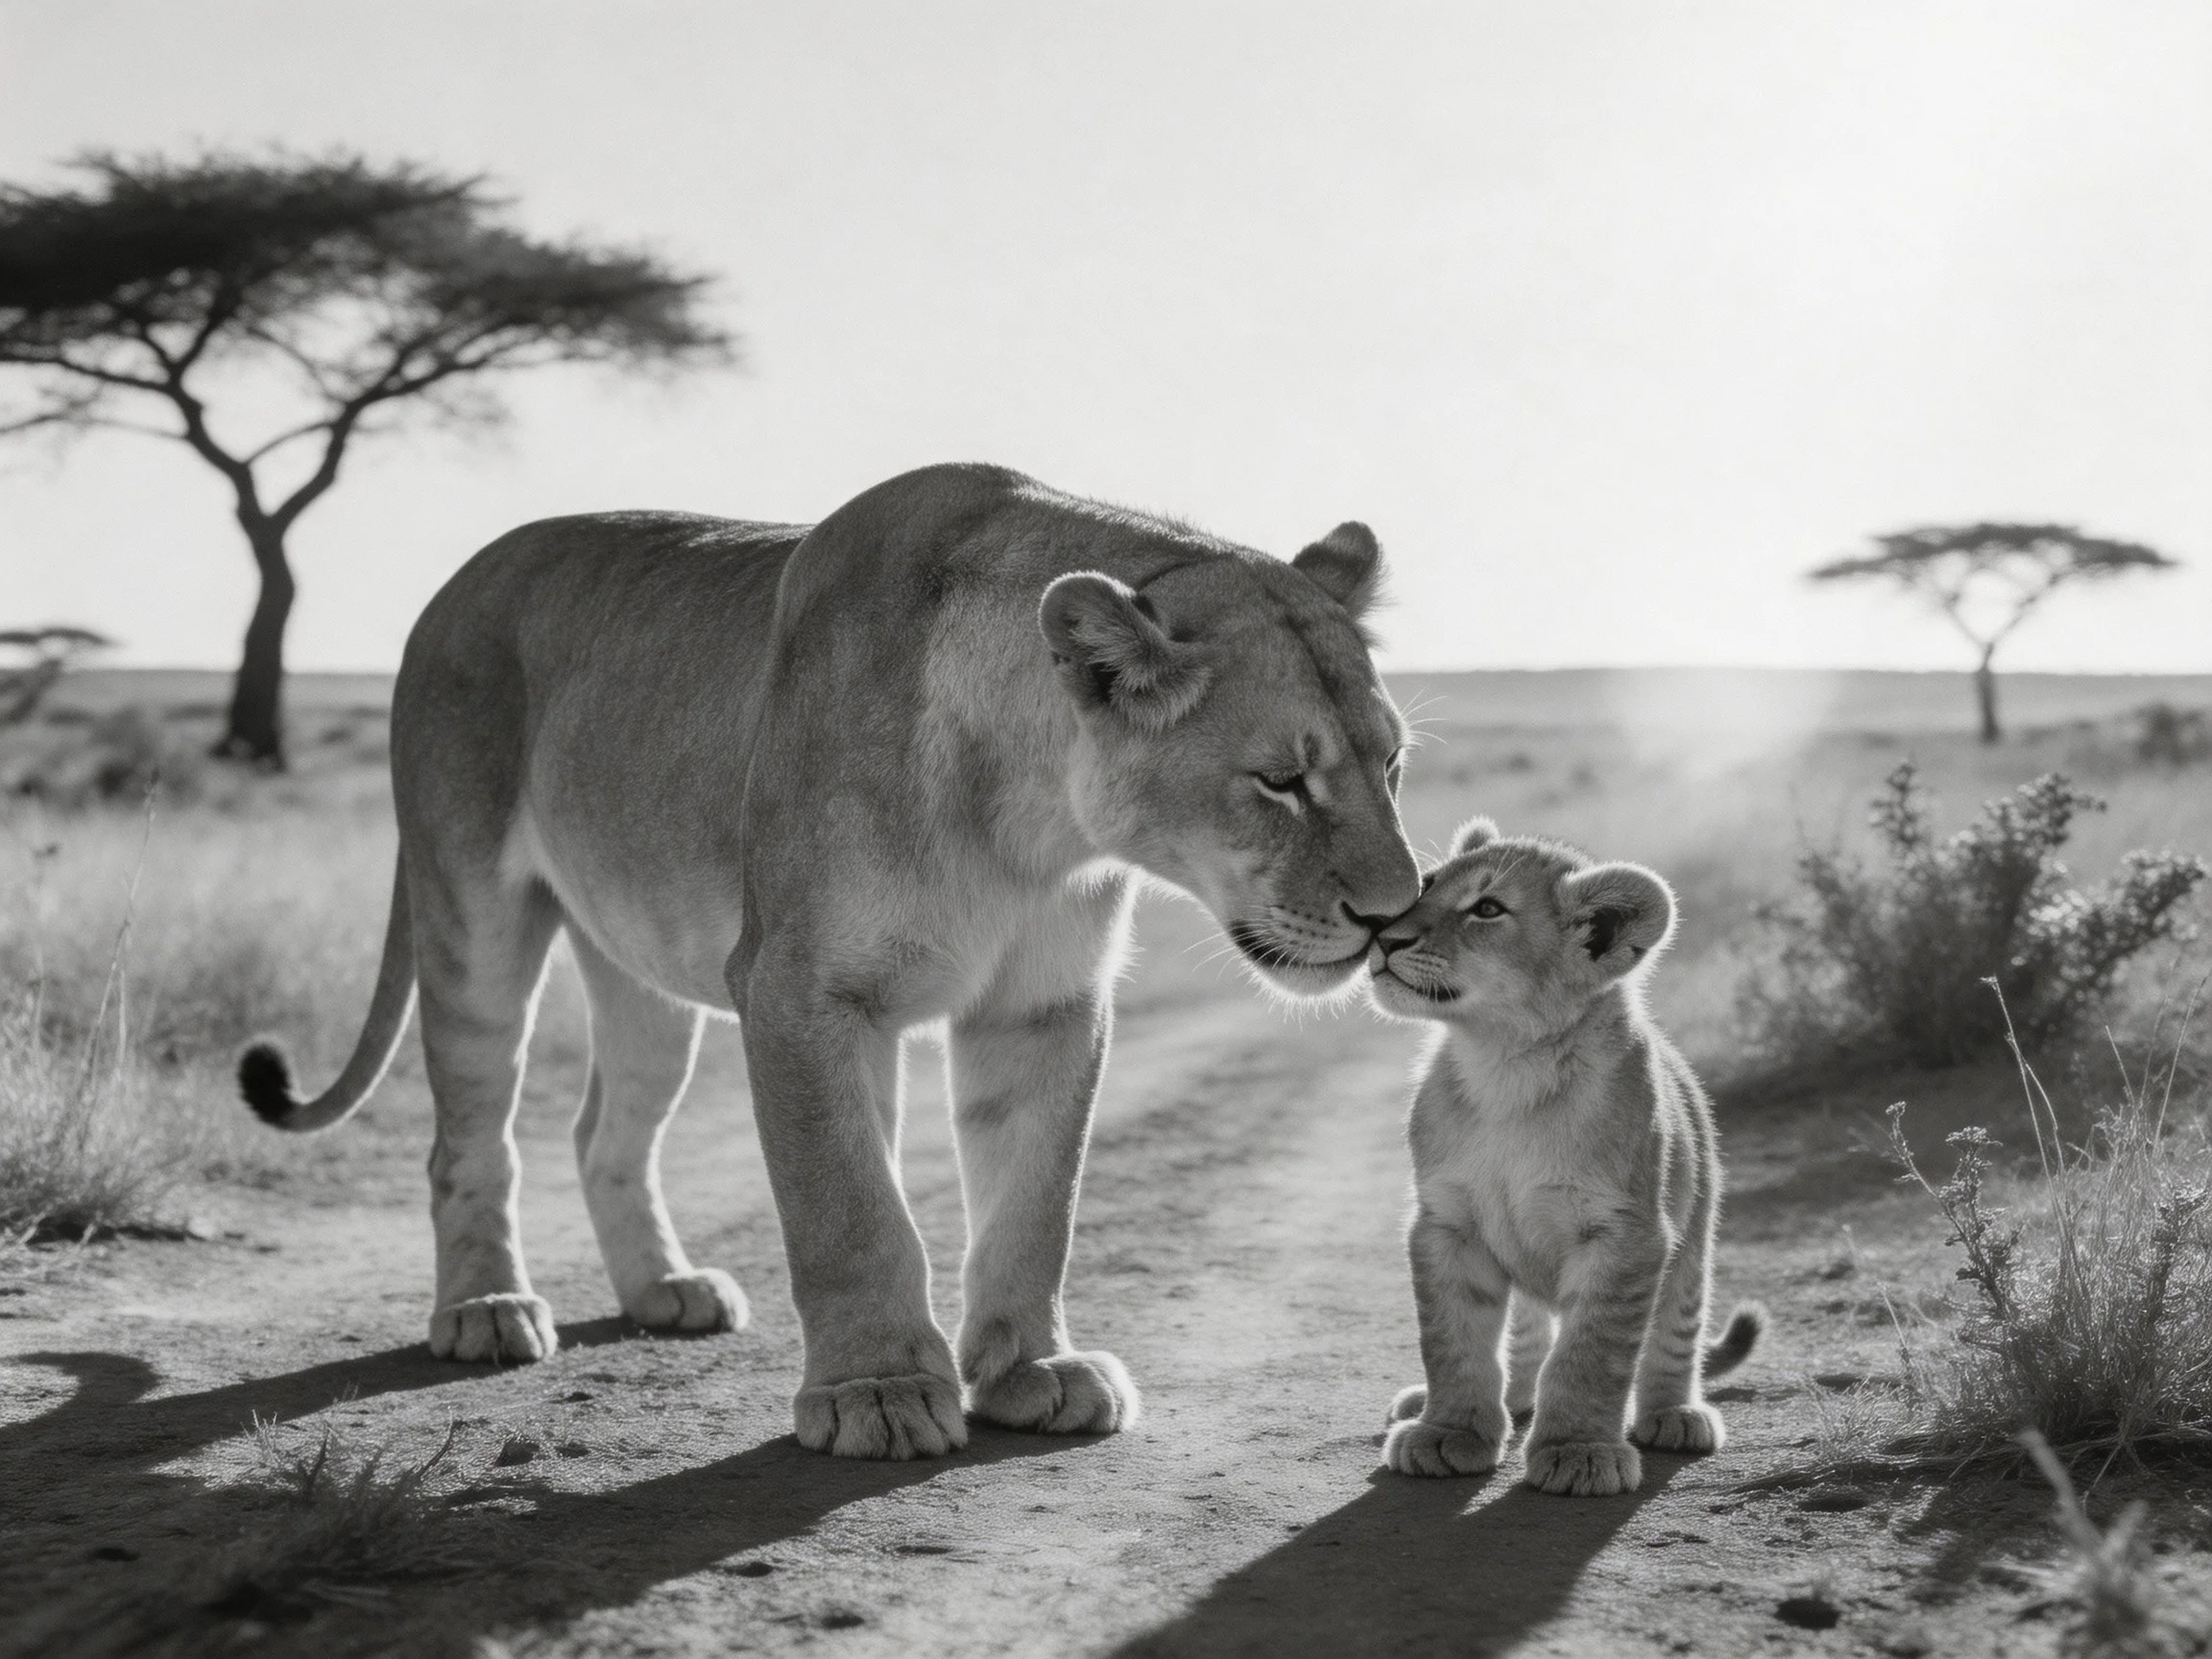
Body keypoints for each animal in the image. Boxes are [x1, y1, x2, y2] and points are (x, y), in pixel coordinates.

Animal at [239, 462, 1422, 1460]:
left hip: (640, 966)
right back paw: (484, 1310)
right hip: (470, 908)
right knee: (469, 1135)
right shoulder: (797, 986)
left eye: (1393, 764)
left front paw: (1032, 1370)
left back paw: (665, 1288)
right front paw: (878, 1392)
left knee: (604, 1129)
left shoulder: (1043, 1004)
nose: (1393, 916)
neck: (1030, 818)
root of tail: (458, 582)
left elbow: (1035, 1199)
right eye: (1280, 780)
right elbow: (849, 1205)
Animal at [1364, 818, 1763, 1495]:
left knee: (1675, 1329)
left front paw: (1578, 1451)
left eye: (1488, 909)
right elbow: (1453, 1340)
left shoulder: (1626, 1234)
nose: (1382, 937)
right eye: (1427, 884)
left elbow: (1590, 1356)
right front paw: (1449, 1431)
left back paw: (1676, 1415)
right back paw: (1483, 1401)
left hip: (1694, 1235)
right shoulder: (1446, 1223)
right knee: (1524, 1340)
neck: (1503, 1064)